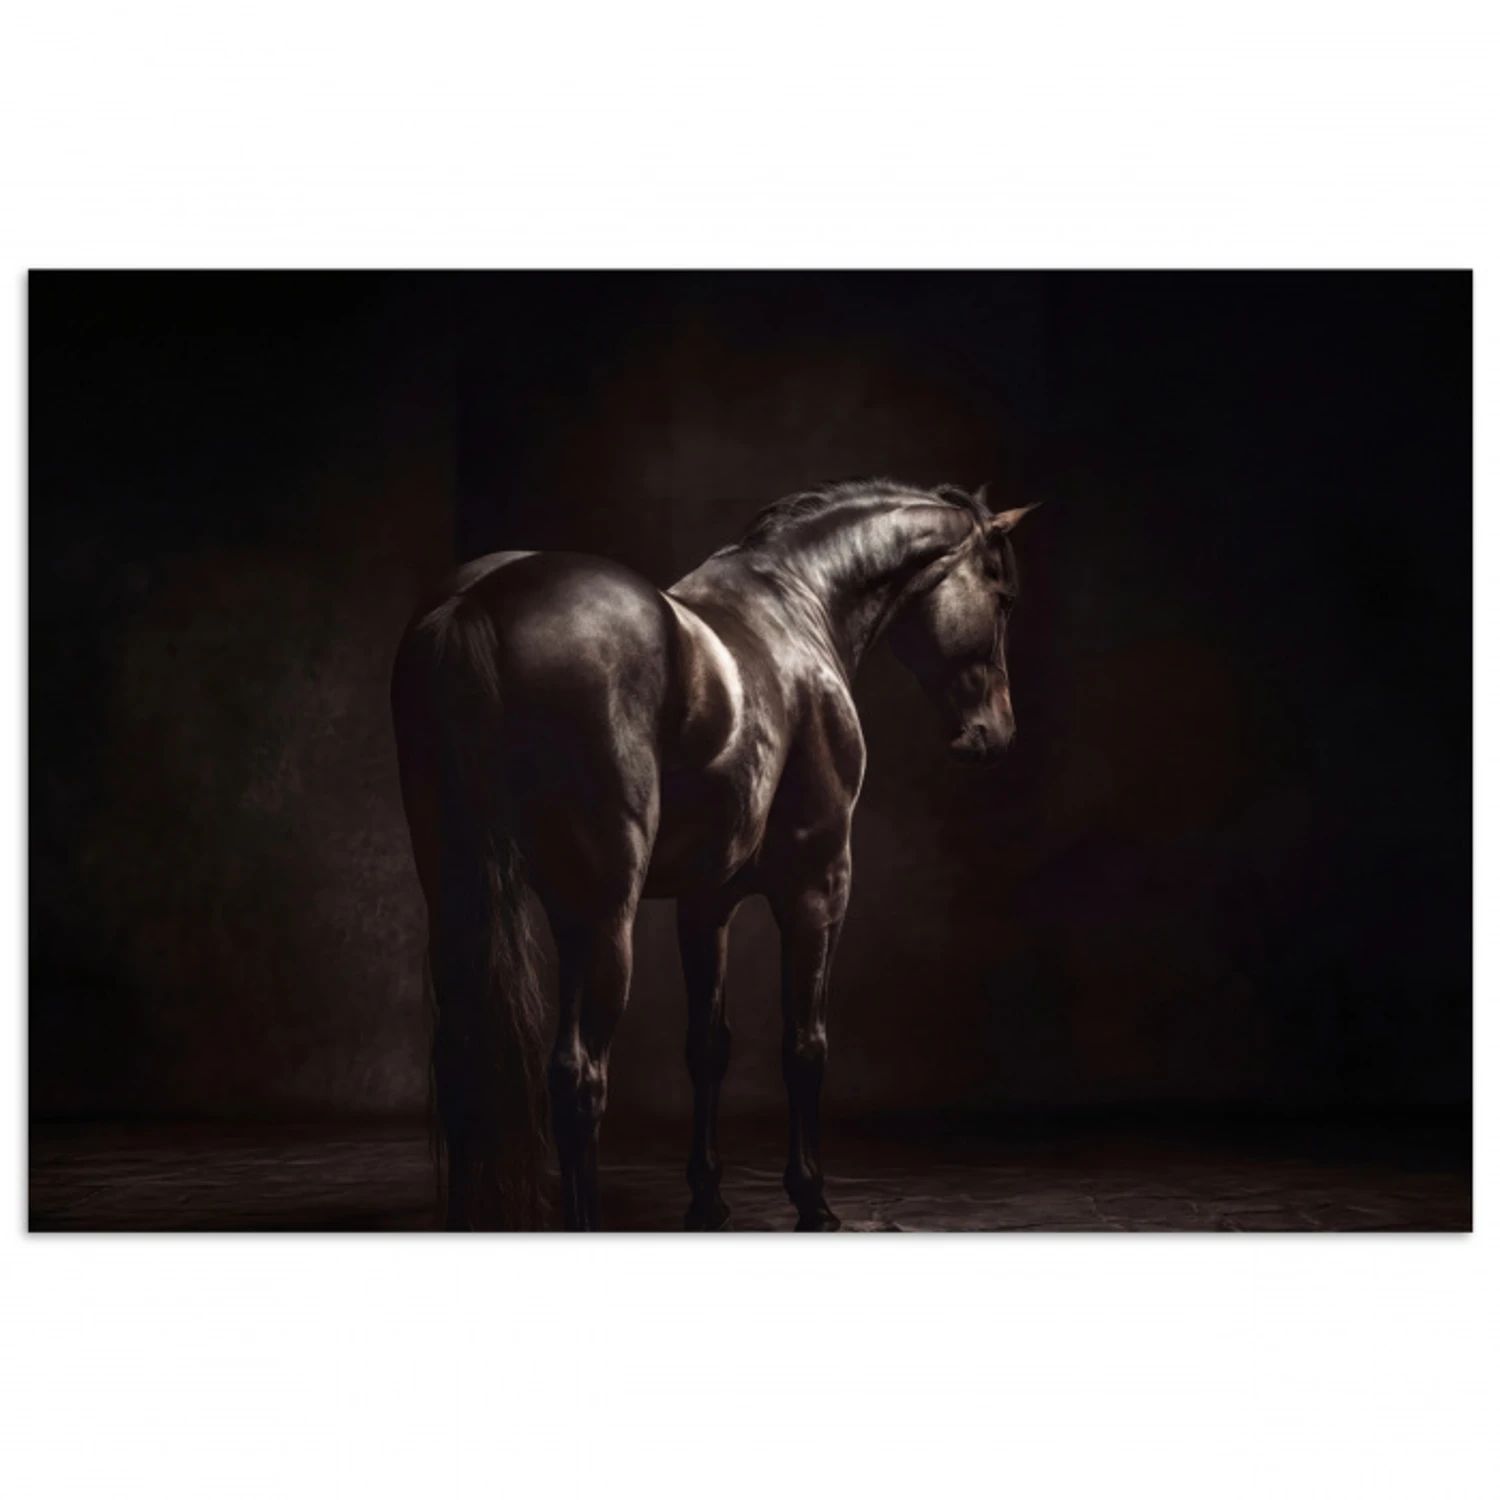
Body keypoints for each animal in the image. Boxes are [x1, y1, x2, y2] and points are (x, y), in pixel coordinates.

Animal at [390, 478, 1037, 1230]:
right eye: (1003, 597)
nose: (995, 734)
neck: (797, 600)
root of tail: (480, 600)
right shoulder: (819, 884)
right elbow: (804, 1045)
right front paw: (811, 1198)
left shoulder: (707, 900)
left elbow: (708, 1046)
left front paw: (707, 1195)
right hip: (599, 917)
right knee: (579, 1077)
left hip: (455, 894)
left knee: (462, 1061)